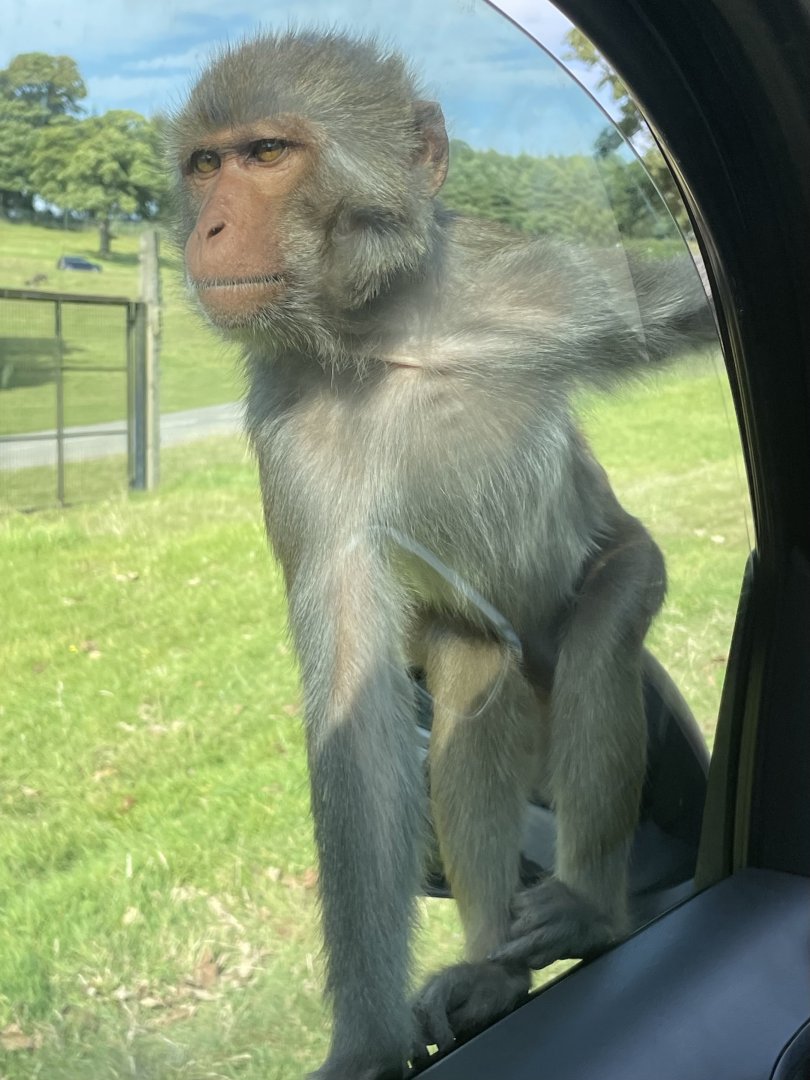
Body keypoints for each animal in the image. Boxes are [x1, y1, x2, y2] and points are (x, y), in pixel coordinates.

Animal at [169, 30, 717, 1080]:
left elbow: (672, 311)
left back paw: (588, 908)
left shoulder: (526, 285)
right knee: (473, 671)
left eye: (267, 153)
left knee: (600, 636)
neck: (384, 335)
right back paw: (496, 965)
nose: (206, 229)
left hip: (628, 561)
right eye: (206, 165)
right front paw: (365, 1043)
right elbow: (355, 701)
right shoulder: (289, 431)